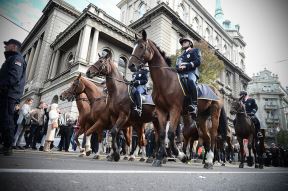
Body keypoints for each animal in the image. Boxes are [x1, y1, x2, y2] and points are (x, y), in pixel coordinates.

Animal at [127, 29, 226, 169]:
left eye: (141, 46)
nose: (131, 65)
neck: (165, 80)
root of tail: (216, 91)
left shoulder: (175, 110)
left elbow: (171, 134)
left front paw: (181, 155)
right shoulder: (161, 111)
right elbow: (162, 135)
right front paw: (159, 159)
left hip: (214, 114)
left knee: (212, 135)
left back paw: (210, 160)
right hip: (201, 117)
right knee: (206, 137)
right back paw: (206, 161)